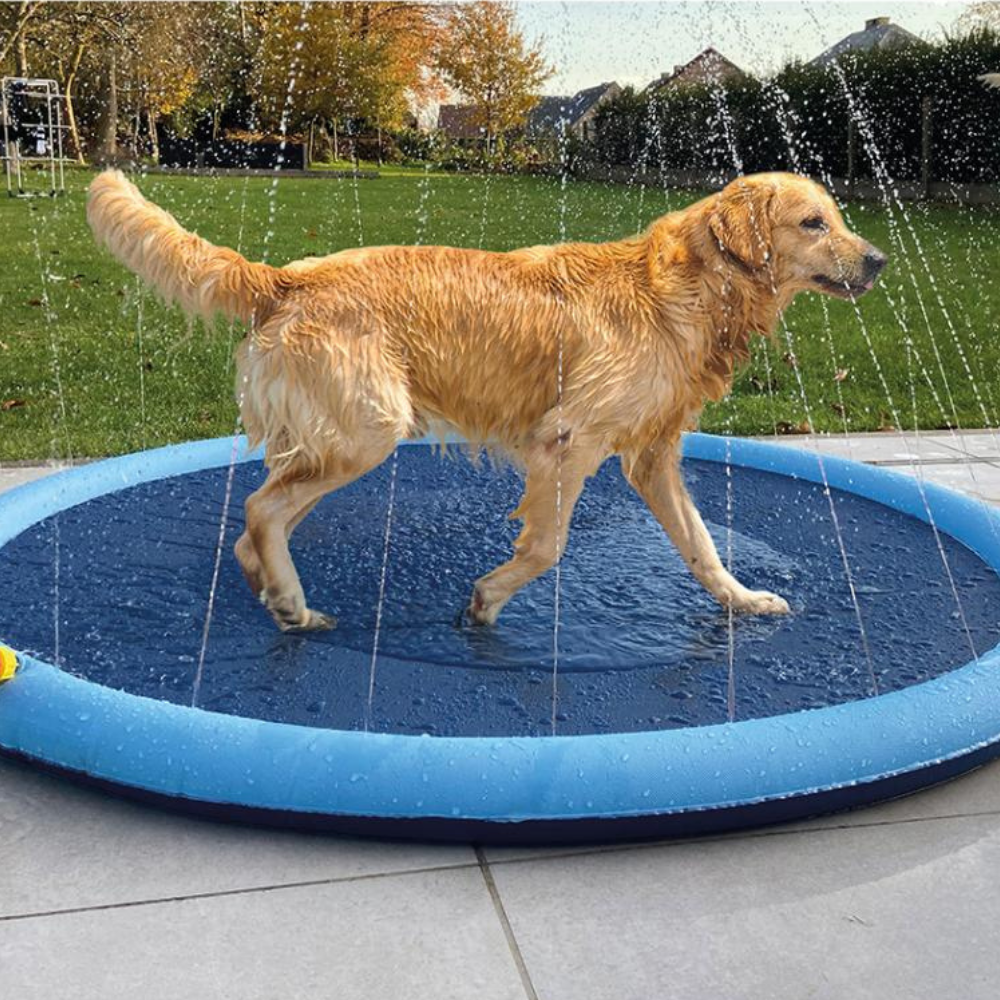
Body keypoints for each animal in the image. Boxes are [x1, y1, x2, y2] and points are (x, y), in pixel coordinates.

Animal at [84, 167, 884, 628]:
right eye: (814, 222)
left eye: (840, 217)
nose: (878, 259)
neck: (690, 289)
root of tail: (284, 278)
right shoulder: (566, 442)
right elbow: (549, 546)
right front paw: (489, 599)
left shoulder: (652, 456)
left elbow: (701, 545)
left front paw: (743, 601)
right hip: (368, 431)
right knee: (259, 509)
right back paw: (293, 603)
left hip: (335, 437)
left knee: (257, 520)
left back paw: (270, 590)